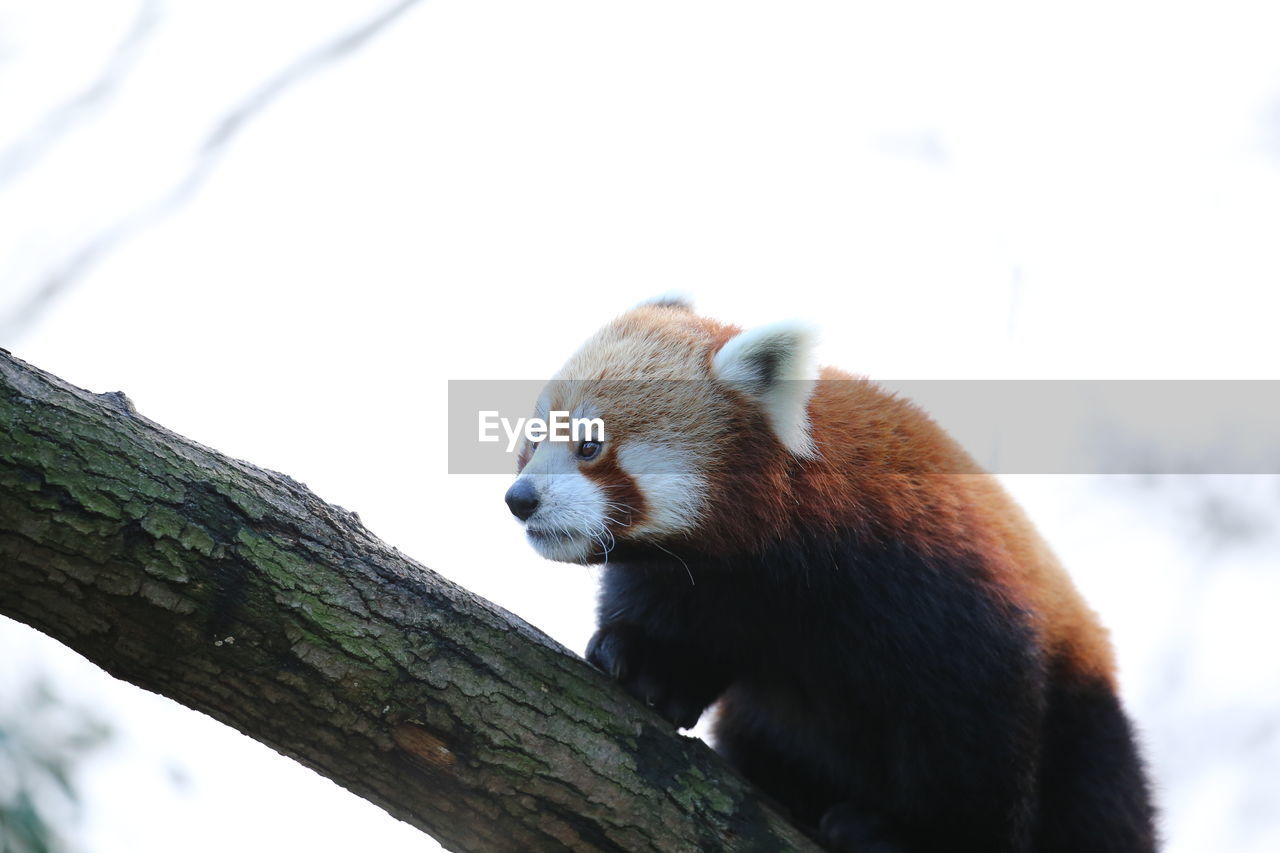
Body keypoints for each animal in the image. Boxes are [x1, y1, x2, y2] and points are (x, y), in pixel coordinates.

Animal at [504, 295, 1157, 845]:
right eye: (532, 442)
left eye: (590, 446)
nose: (520, 499)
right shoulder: (710, 584)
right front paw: (647, 663)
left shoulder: (943, 586)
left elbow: (972, 732)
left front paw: (915, 835)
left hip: (1091, 722)